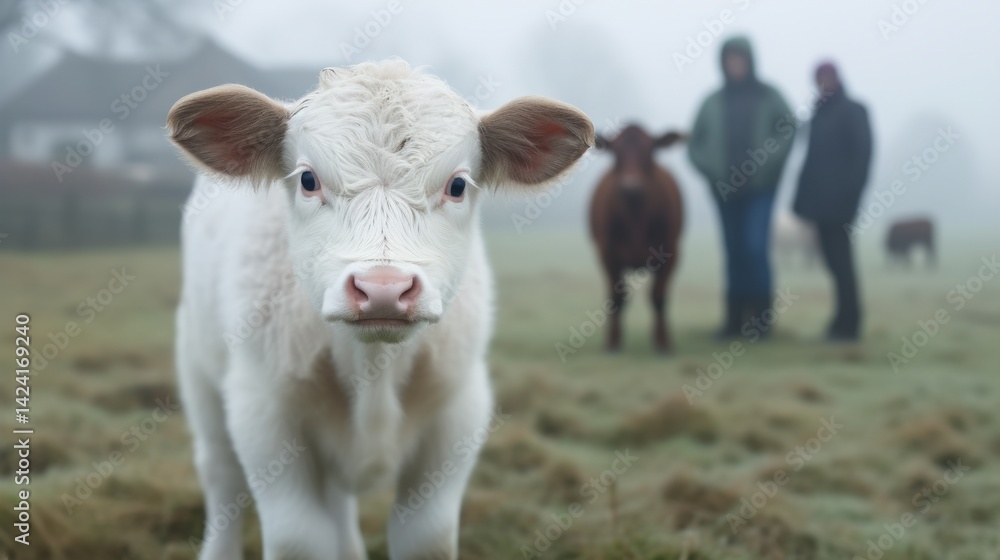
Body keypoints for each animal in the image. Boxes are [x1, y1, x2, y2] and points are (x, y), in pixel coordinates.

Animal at [167, 60, 593, 560]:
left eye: (457, 185)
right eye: (308, 180)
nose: (383, 289)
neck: (373, 368)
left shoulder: (458, 413)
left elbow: (426, 537)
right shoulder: (264, 413)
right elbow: (299, 538)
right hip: (200, 373)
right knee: (221, 476)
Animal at [589, 125, 685, 353]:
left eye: (650, 151)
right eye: (615, 153)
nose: (630, 186)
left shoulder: (671, 253)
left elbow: (658, 297)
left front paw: (663, 342)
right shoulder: (607, 253)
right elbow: (616, 298)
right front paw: (613, 342)